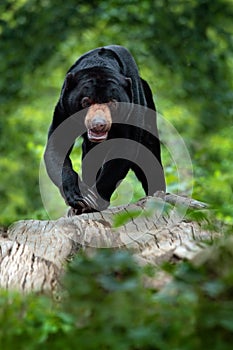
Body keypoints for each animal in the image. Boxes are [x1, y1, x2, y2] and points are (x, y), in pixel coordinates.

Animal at [44, 45, 166, 215]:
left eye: (112, 102)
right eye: (86, 102)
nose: (99, 124)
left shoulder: (131, 110)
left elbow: (123, 152)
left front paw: (91, 202)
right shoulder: (64, 110)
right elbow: (58, 148)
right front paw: (79, 197)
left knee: (149, 154)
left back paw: (157, 194)